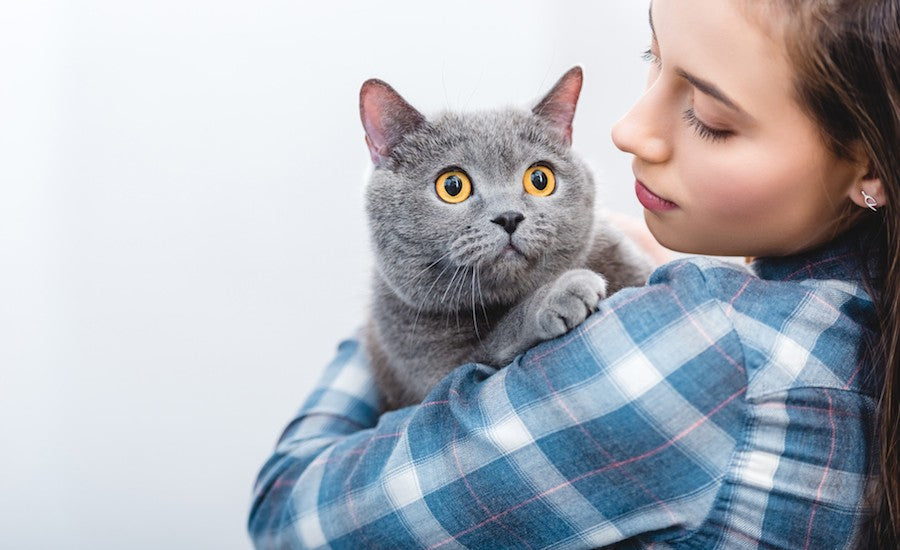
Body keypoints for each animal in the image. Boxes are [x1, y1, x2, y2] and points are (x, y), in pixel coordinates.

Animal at [358, 67, 652, 412]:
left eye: (540, 179)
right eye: (452, 186)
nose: (509, 217)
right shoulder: (436, 378)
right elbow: (493, 346)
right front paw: (561, 291)